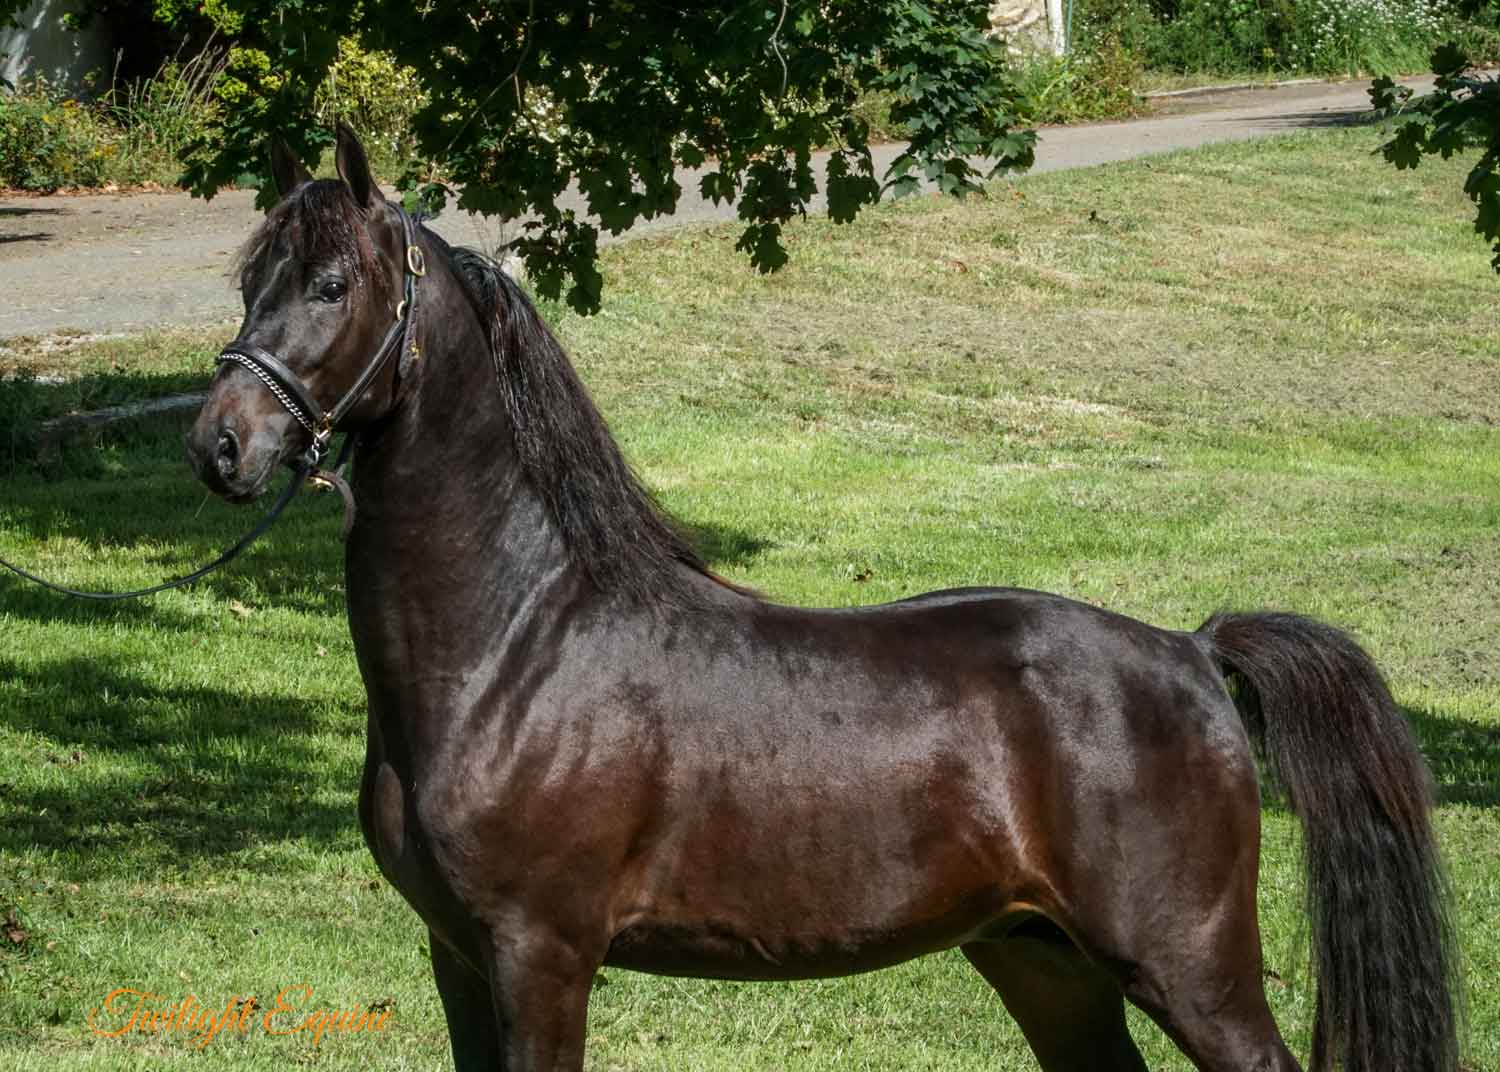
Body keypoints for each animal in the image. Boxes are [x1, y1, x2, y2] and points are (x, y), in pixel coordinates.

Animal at [186, 126, 1458, 1072]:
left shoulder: (539, 955)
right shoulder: (455, 953)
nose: (221, 446)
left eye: (333, 283)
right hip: (1042, 959)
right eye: (249, 281)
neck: (515, 651)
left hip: (1191, 971)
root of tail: (1193, 652)